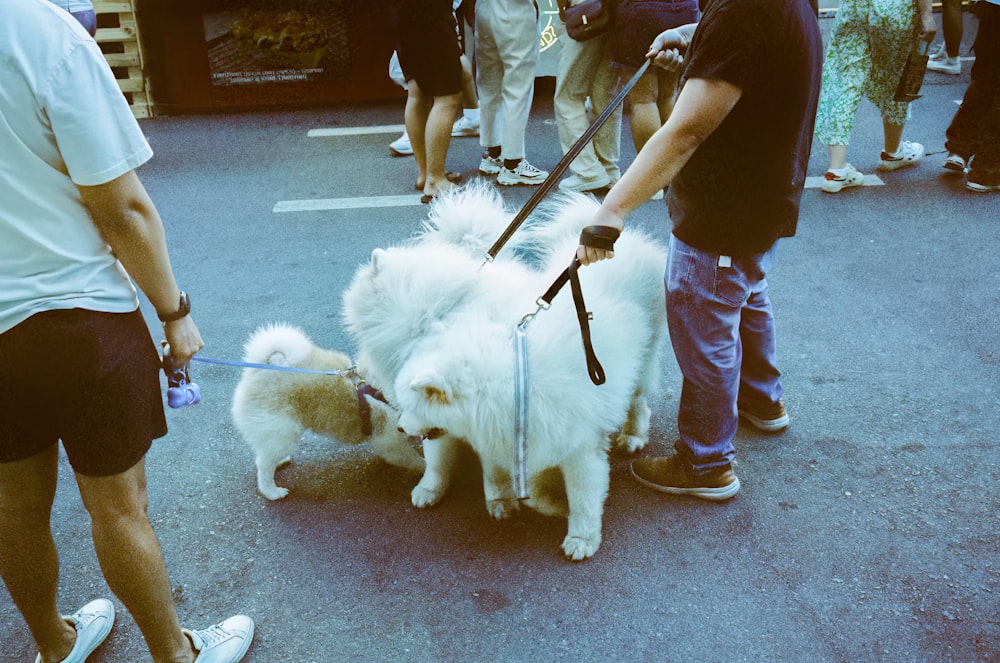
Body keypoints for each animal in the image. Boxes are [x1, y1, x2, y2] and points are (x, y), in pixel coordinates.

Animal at [232, 324, 424, 500]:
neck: (377, 387)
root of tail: (258, 371)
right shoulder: (389, 439)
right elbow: (411, 457)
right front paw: (424, 468)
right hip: (283, 430)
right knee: (263, 465)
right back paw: (272, 491)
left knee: (266, 455)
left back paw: (279, 461)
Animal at [340, 184, 668, 564]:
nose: (359, 367)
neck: (442, 312)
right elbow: (448, 459)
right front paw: (437, 489)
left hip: (641, 360)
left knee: (638, 400)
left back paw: (632, 436)